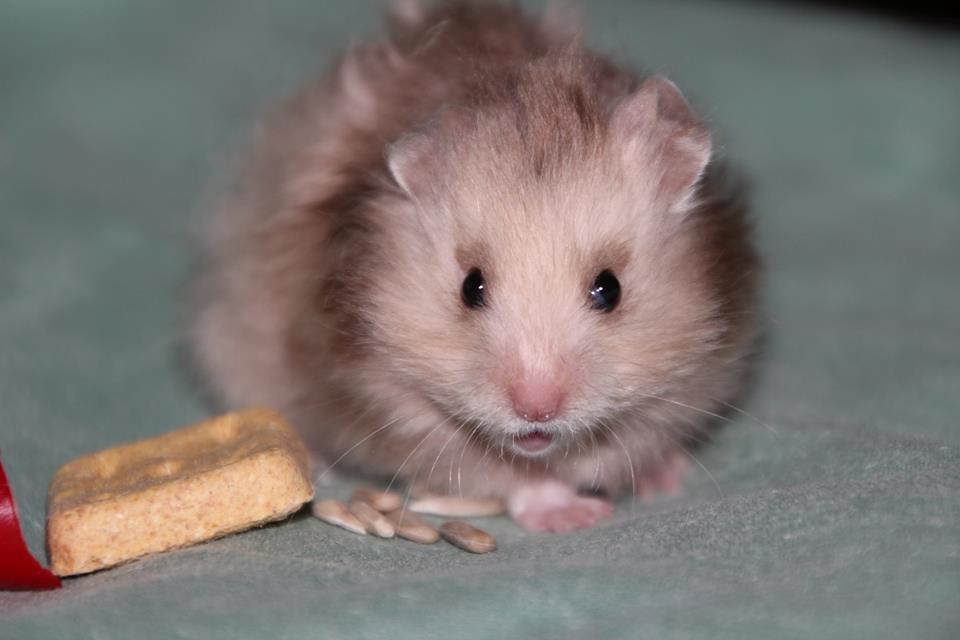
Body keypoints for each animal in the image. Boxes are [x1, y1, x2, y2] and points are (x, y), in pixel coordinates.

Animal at [191, 1, 759, 532]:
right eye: (471, 287)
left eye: (609, 289)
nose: (536, 410)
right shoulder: (396, 409)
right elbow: (509, 475)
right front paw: (572, 515)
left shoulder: (694, 377)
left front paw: (665, 478)